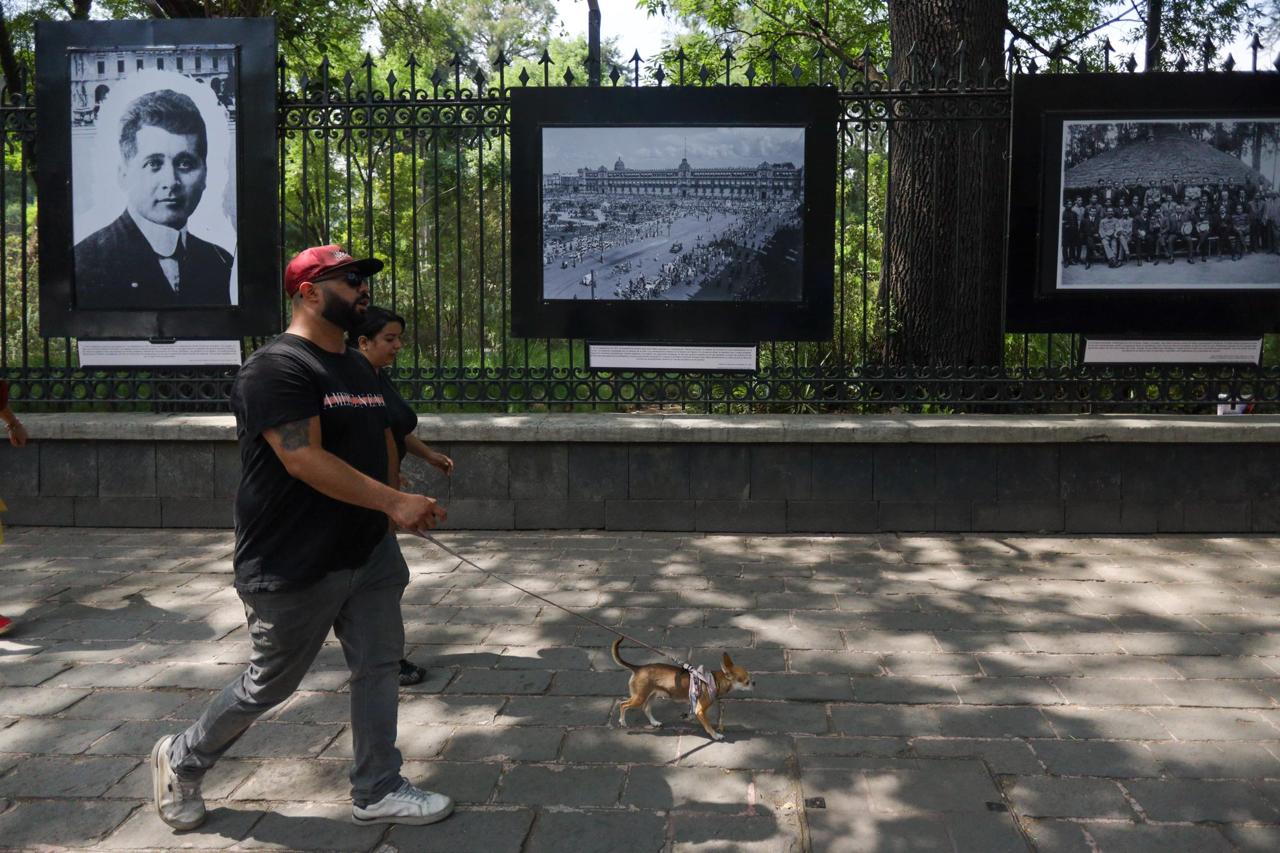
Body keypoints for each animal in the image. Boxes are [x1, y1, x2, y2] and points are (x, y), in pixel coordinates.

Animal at [609, 635, 747, 732]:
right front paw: (716, 735)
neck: (712, 680)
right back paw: (623, 722)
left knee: (645, 708)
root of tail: (638, 668)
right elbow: (708, 726)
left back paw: (654, 722)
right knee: (623, 704)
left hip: (651, 695)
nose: (752, 684)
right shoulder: (701, 710)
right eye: (746, 682)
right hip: (639, 698)